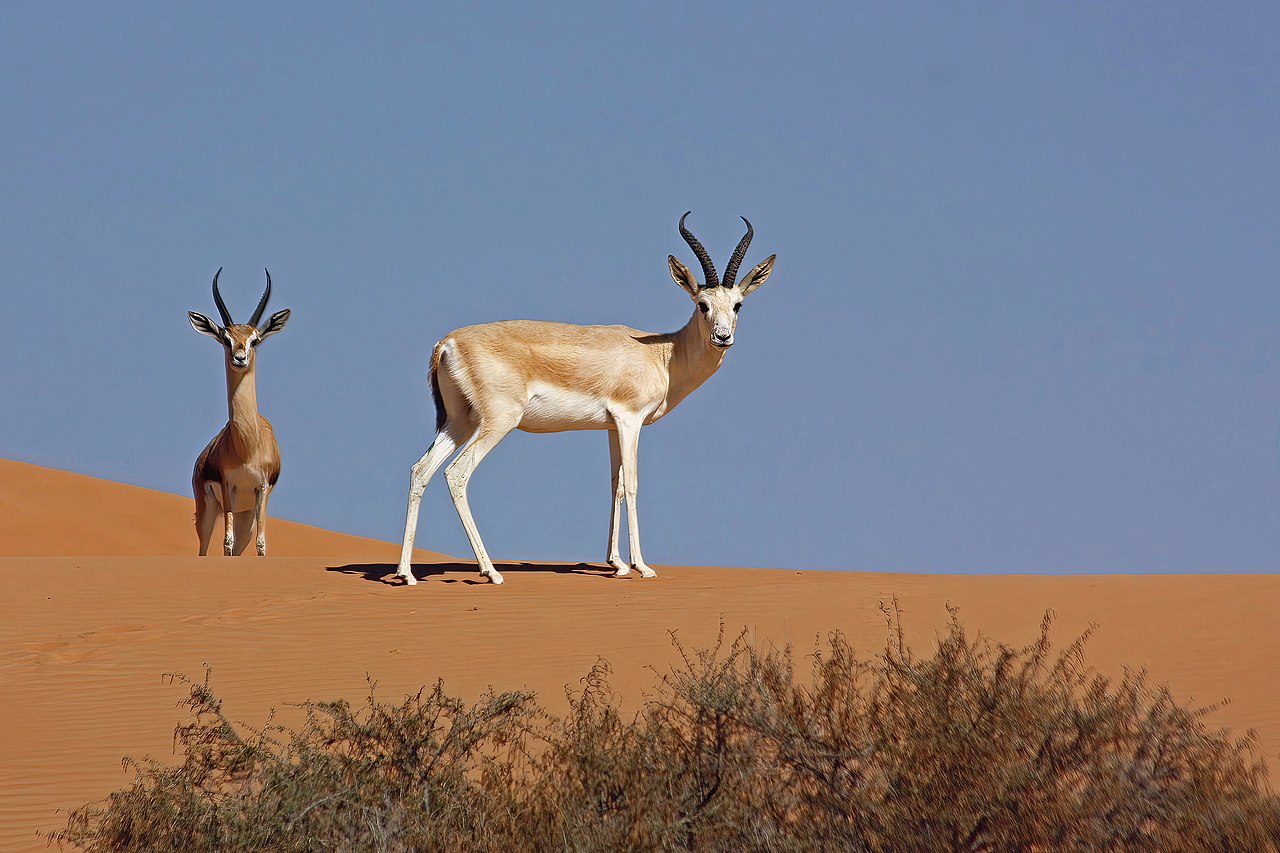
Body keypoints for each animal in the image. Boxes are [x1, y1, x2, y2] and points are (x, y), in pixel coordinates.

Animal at [188, 269, 291, 556]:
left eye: (255, 340)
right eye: (226, 338)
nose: (240, 358)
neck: (248, 444)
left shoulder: (261, 488)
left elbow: (261, 543)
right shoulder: (229, 486)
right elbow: (227, 541)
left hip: (246, 515)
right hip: (209, 511)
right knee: (204, 549)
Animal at [396, 213, 776, 585]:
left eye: (738, 305)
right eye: (702, 304)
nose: (722, 337)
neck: (663, 354)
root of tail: (447, 342)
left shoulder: (611, 427)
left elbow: (616, 486)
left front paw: (617, 564)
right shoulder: (630, 420)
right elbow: (633, 484)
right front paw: (641, 566)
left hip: (459, 421)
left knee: (421, 470)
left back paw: (406, 573)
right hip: (498, 422)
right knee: (457, 474)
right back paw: (490, 571)